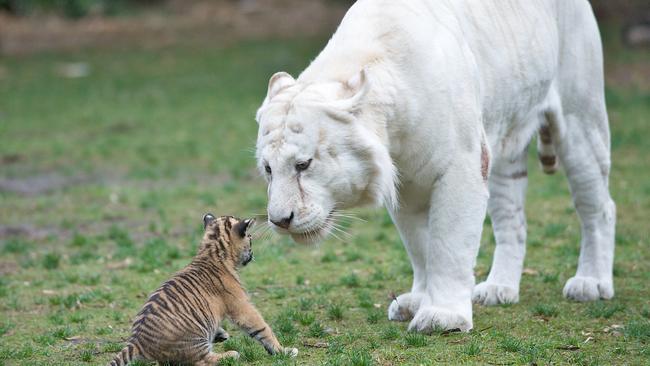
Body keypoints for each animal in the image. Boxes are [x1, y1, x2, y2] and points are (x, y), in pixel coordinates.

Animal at [252, 0, 612, 332]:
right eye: (268, 169)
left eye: (303, 164)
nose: (280, 221)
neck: (392, 127)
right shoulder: (406, 186)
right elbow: (421, 246)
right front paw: (417, 301)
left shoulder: (462, 168)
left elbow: (449, 244)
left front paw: (443, 316)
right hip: (505, 147)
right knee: (513, 221)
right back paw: (500, 289)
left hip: (581, 120)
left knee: (598, 207)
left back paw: (591, 283)